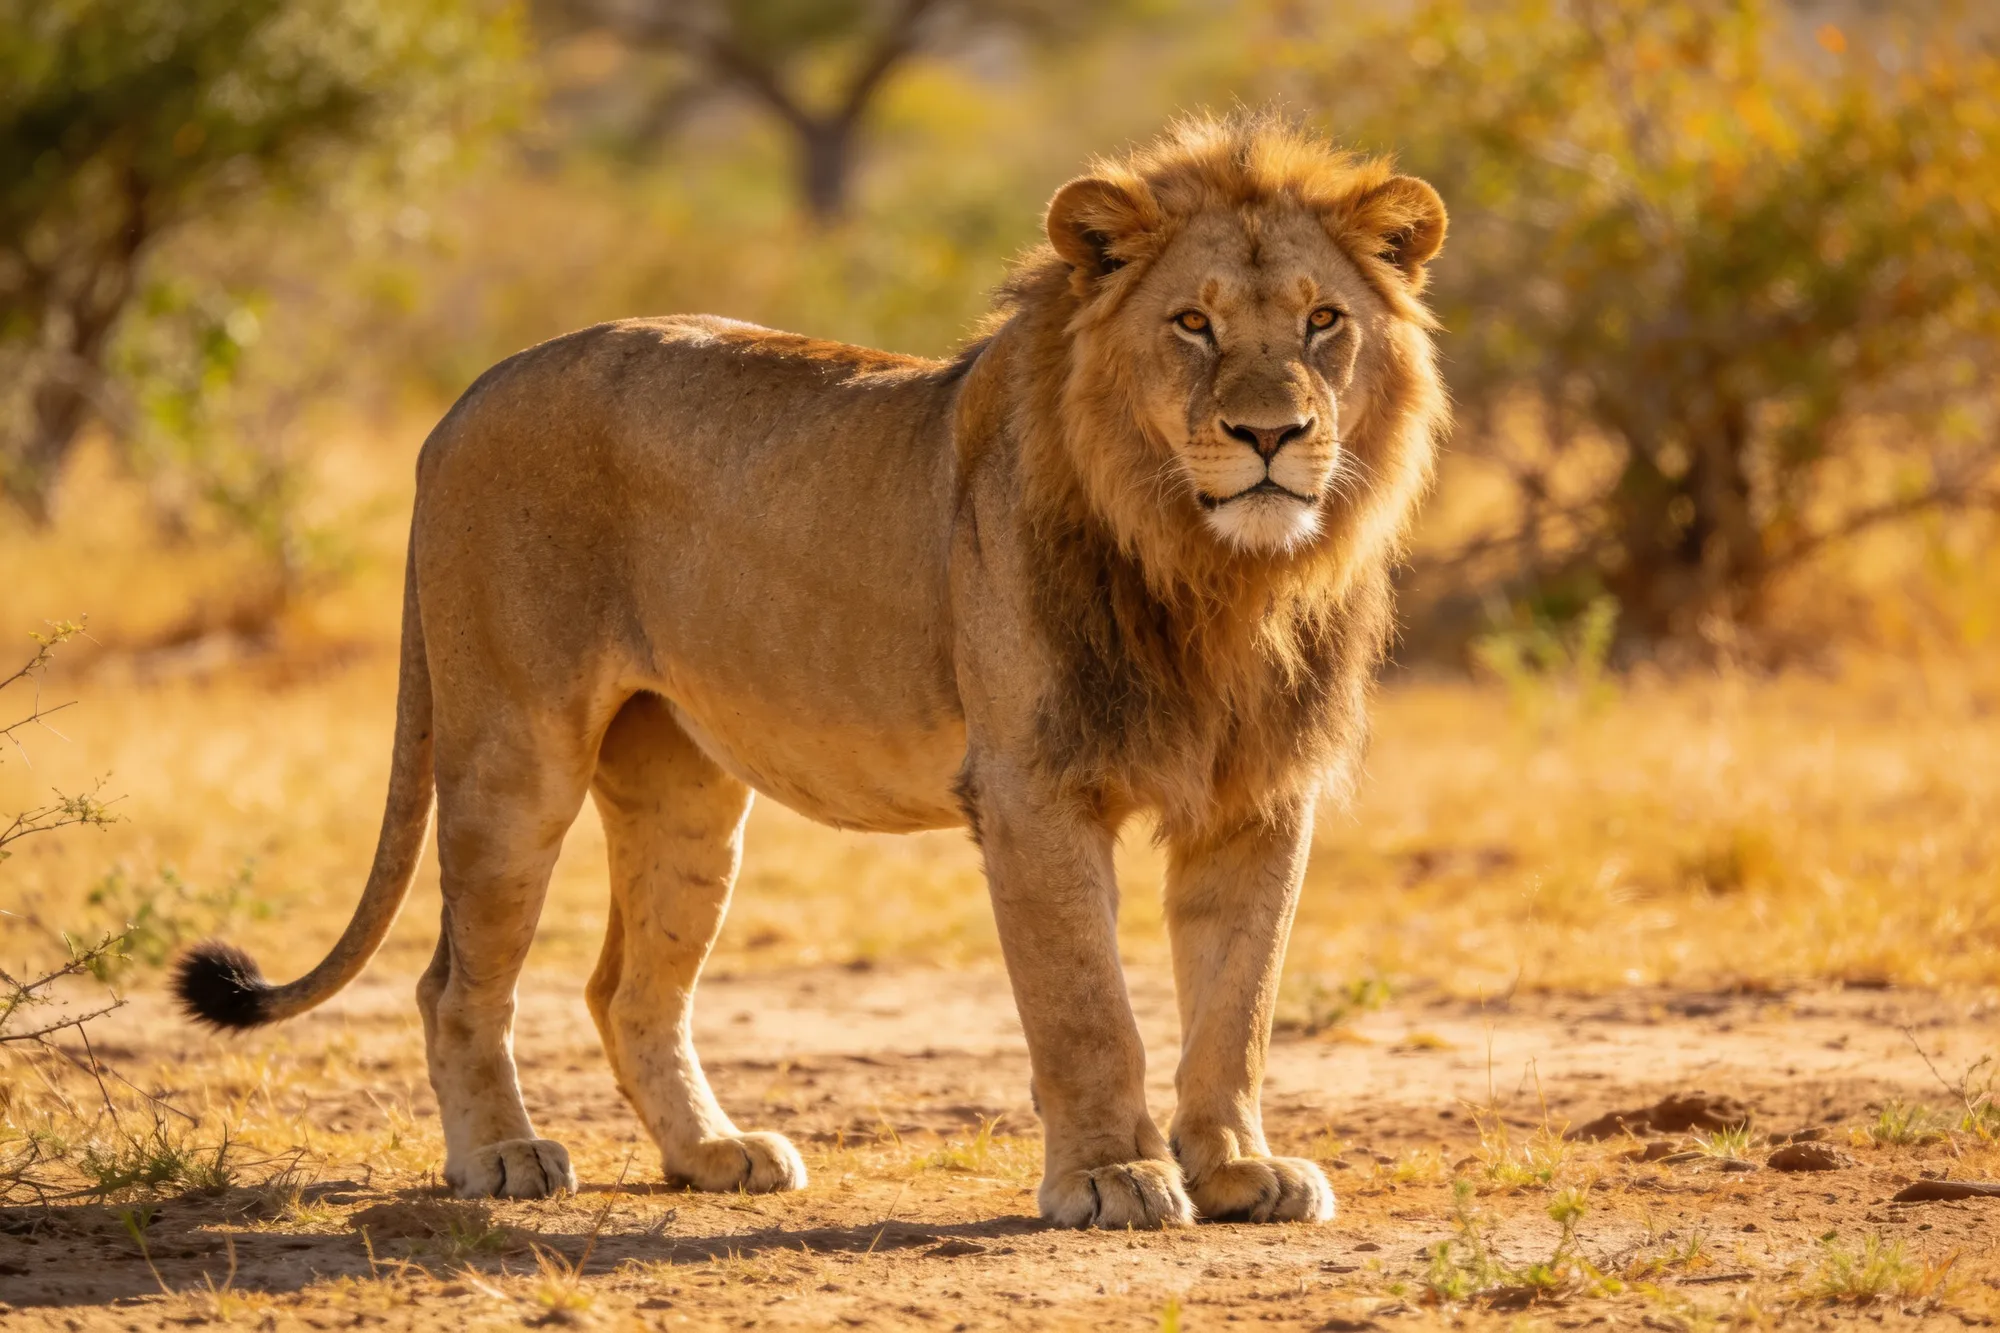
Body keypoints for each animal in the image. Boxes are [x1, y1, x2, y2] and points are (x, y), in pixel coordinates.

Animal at [172, 113, 1448, 1229]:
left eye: (1322, 320)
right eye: (1191, 322)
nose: (1270, 436)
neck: (1215, 574)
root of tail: (467, 396)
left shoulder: (1258, 796)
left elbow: (1238, 1002)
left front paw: (1235, 1170)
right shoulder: (1033, 790)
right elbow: (1088, 1005)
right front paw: (1110, 1176)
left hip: (684, 790)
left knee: (627, 987)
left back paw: (711, 1152)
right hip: (511, 754)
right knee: (455, 979)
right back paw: (501, 1154)